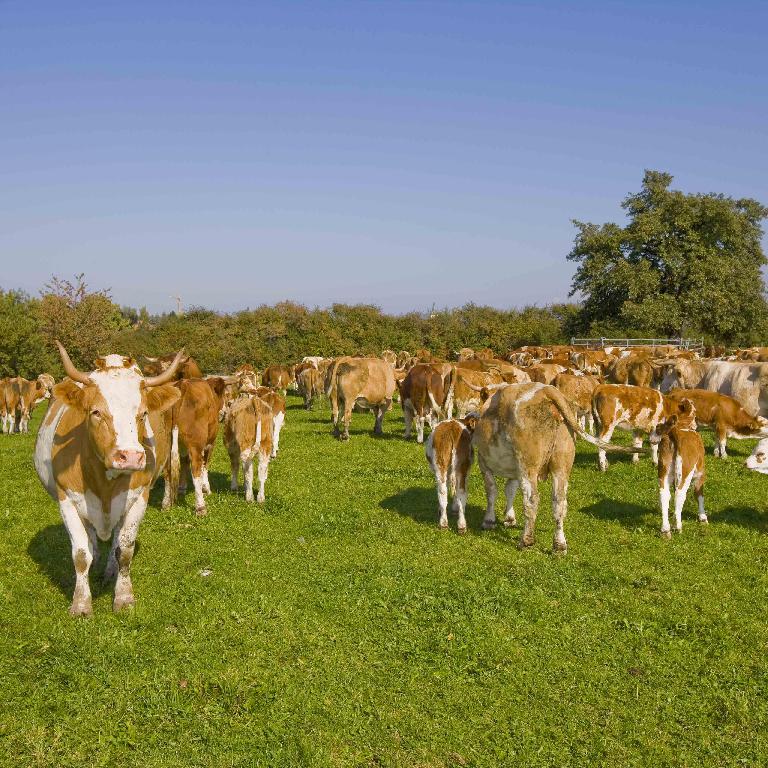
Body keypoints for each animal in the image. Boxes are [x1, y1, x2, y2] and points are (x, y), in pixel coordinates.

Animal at [33, 344, 182, 616]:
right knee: (91, 539)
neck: (104, 480)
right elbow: (81, 554)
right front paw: (81, 603)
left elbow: (124, 549)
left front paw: (123, 597)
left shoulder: (138, 499)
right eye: (96, 412)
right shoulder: (67, 500)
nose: (130, 456)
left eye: (143, 413)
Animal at [472, 382, 640, 552]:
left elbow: (492, 491)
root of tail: (546, 389)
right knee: (560, 502)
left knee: (532, 500)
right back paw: (559, 545)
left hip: (528, 465)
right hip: (561, 466)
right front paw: (509, 518)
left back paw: (526, 540)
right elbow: (510, 490)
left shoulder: (484, 463)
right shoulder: (514, 471)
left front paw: (489, 521)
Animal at [656, 400, 708, 536]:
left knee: (664, 494)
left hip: (664, 469)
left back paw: (666, 529)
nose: (696, 424)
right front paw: (703, 517)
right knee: (680, 494)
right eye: (695, 413)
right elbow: (699, 494)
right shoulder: (700, 473)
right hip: (686, 472)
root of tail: (676, 431)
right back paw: (677, 526)